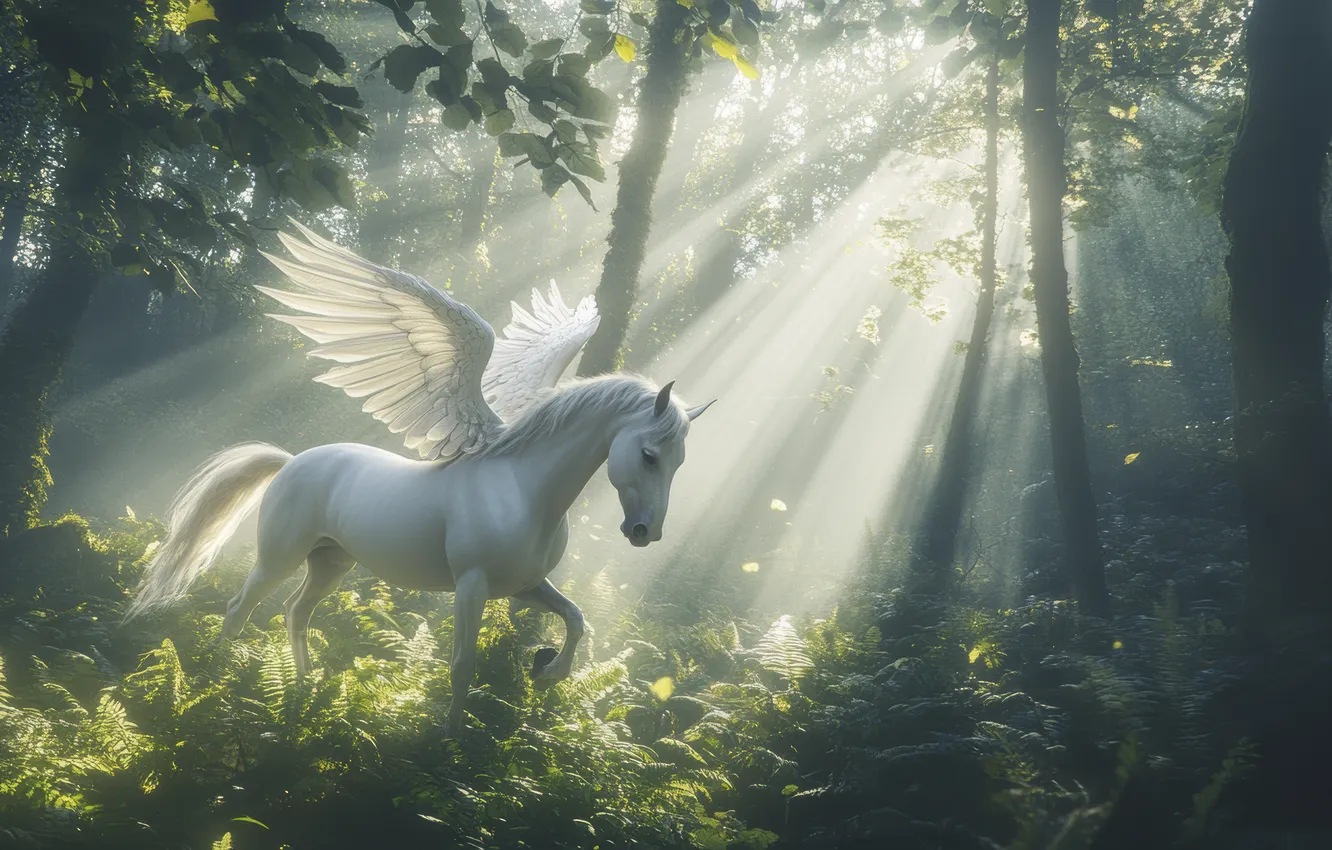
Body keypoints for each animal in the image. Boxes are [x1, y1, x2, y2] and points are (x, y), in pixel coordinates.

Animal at [126, 220, 715, 733]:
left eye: (680, 461)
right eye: (649, 455)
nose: (645, 533)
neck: (524, 493)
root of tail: (292, 461)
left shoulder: (525, 587)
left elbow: (576, 617)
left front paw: (548, 669)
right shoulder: (472, 587)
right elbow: (461, 665)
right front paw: (446, 743)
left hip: (331, 562)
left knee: (296, 614)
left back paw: (303, 688)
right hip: (279, 557)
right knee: (238, 610)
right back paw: (214, 683)